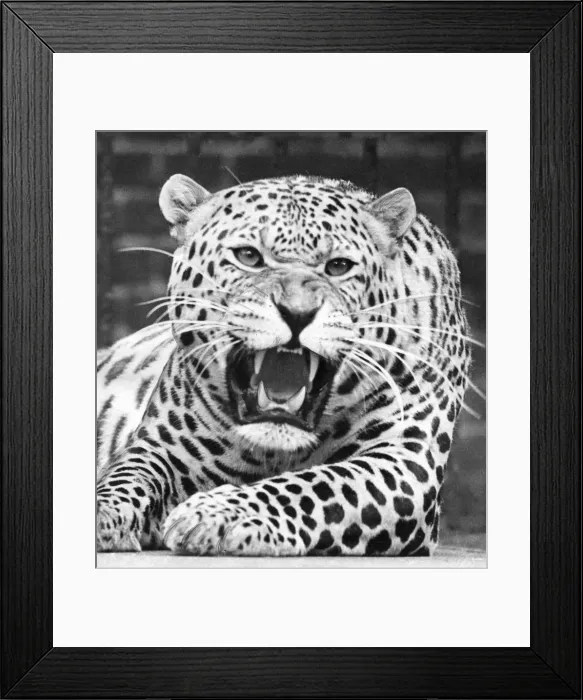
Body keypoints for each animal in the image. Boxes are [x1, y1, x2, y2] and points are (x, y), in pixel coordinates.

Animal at [96, 173, 472, 556]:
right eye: (248, 256)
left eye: (338, 266)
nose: (297, 312)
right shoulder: (162, 448)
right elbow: (126, 477)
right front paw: (101, 512)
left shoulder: (404, 462)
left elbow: (315, 486)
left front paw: (220, 514)